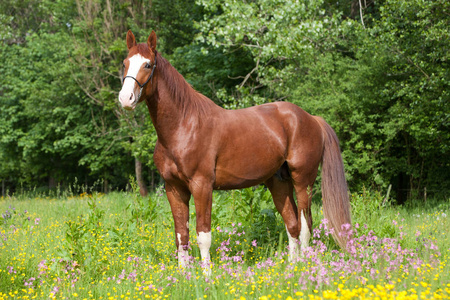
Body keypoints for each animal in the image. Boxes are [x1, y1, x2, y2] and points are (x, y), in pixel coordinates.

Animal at [118, 30, 352, 272]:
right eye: (125, 63)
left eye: (147, 64)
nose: (125, 99)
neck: (183, 125)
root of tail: (311, 118)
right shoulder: (174, 188)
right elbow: (181, 235)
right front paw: (183, 276)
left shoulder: (202, 186)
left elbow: (203, 235)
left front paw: (207, 276)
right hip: (279, 182)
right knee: (292, 223)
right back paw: (292, 268)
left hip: (303, 181)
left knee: (306, 226)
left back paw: (305, 268)